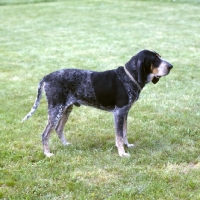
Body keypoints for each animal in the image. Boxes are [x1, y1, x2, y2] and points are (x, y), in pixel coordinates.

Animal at [21, 49, 172, 157]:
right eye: (155, 59)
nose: (171, 66)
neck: (129, 77)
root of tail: (46, 77)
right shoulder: (119, 113)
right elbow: (119, 136)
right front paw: (122, 153)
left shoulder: (125, 112)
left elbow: (124, 133)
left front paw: (127, 146)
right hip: (55, 110)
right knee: (45, 134)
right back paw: (47, 153)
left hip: (66, 109)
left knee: (58, 129)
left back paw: (66, 145)